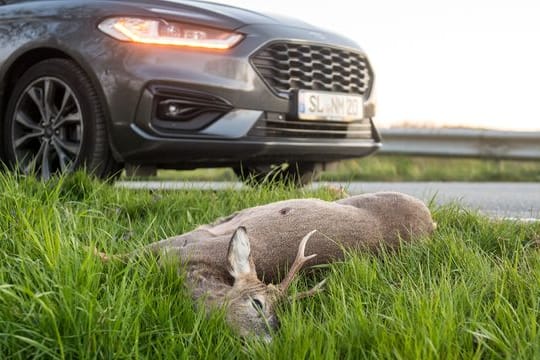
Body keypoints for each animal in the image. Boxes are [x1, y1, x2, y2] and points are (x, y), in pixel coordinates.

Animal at [96, 191, 434, 340]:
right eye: (257, 304)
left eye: (281, 319)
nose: (271, 341)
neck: (196, 266)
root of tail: (431, 220)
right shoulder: (187, 241)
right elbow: (120, 256)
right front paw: (93, 249)